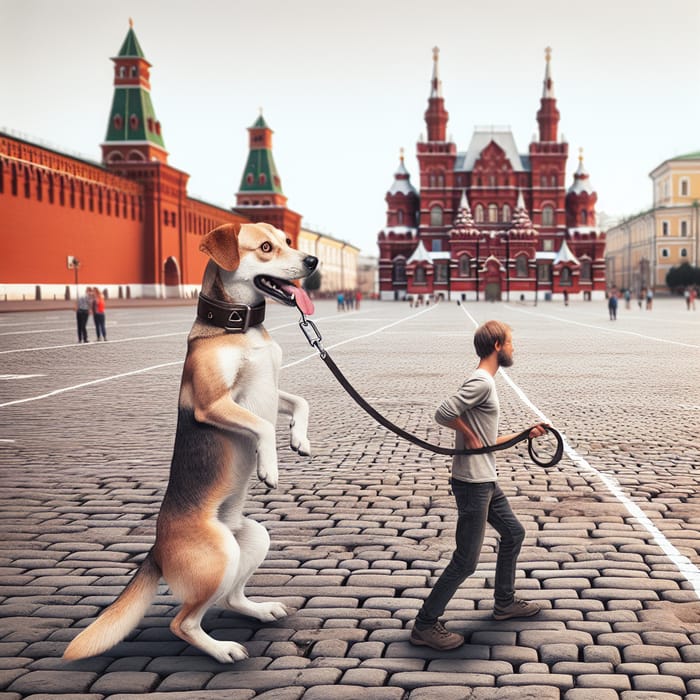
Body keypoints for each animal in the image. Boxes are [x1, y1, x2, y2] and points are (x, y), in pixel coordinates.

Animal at [63, 223, 320, 660]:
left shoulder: (273, 391)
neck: (240, 328)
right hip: (220, 556)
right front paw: (269, 467)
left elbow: (301, 401)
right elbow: (262, 426)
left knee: (230, 598)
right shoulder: (212, 403)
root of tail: (156, 550)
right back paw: (223, 650)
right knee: (182, 622)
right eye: (265, 247)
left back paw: (261, 610)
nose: (313, 261)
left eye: (288, 240)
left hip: (253, 538)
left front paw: (299, 440)